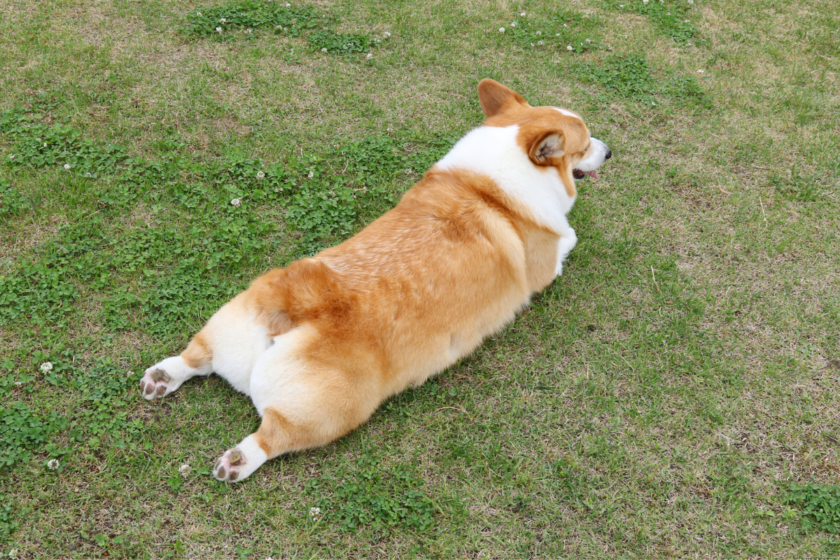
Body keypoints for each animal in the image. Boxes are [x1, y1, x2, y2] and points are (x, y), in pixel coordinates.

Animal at [139, 80, 612, 482]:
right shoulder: (546, 264)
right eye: (585, 144)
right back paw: (238, 461)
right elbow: (568, 237)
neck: (491, 183)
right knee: (271, 438)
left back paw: (163, 376)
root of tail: (296, 309)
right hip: (332, 410)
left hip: (228, 323)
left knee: (197, 357)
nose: (609, 152)